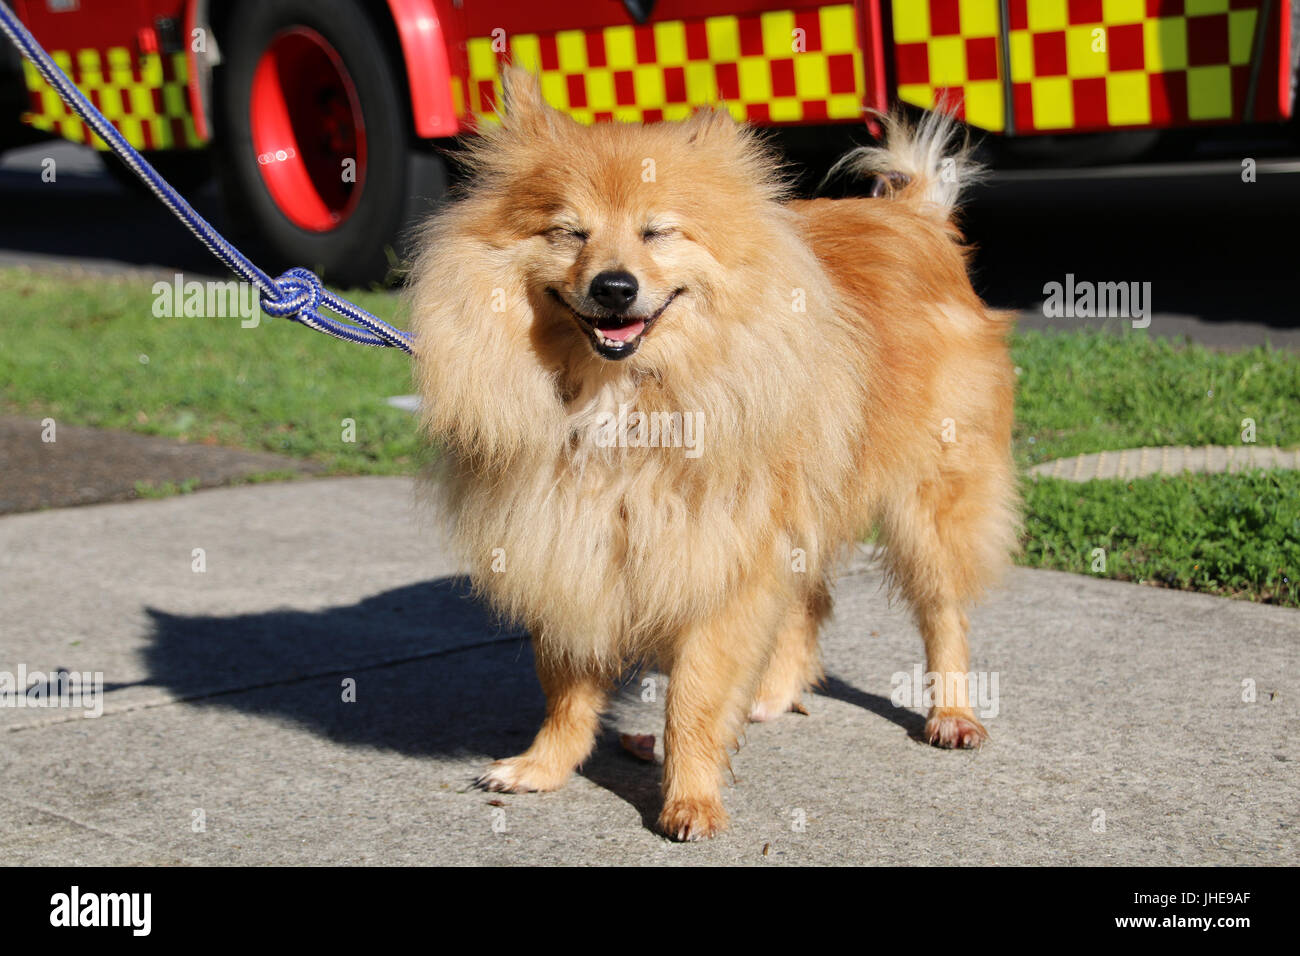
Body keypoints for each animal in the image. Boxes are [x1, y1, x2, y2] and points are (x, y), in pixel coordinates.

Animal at [410, 70, 1019, 842]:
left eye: (658, 232)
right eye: (569, 231)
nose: (614, 286)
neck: (621, 400)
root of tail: (915, 217)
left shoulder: (716, 557)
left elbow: (694, 696)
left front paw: (691, 798)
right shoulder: (568, 543)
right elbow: (567, 684)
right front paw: (546, 766)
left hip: (928, 499)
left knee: (943, 611)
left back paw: (952, 713)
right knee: (810, 601)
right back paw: (772, 695)